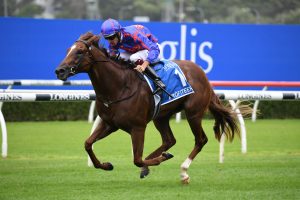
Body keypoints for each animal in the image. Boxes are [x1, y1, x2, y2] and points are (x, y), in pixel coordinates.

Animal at [55, 32, 240, 184]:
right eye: (67, 50)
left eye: (79, 51)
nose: (60, 70)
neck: (119, 87)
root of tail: (202, 73)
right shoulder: (109, 124)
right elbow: (87, 144)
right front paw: (106, 165)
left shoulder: (138, 127)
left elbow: (137, 159)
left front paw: (158, 160)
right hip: (161, 116)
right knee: (169, 140)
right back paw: (154, 162)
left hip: (193, 113)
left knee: (200, 140)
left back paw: (183, 171)